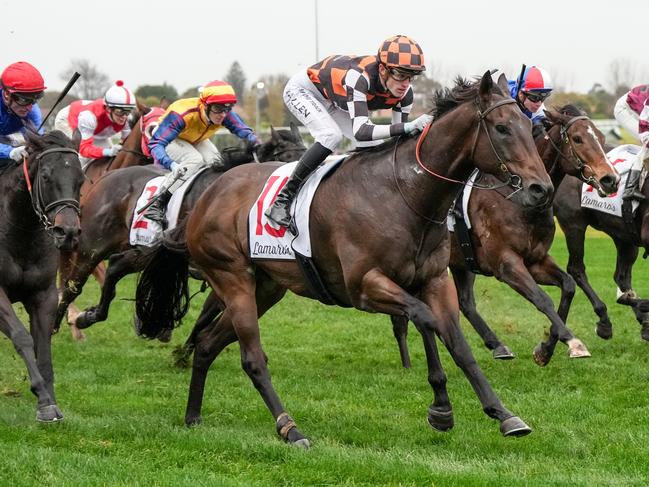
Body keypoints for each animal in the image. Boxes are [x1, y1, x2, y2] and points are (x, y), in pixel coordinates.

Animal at [0, 131, 83, 424]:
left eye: (81, 178)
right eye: (46, 176)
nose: (67, 233)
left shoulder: (43, 295)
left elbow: (43, 348)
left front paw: (49, 402)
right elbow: (22, 337)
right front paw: (44, 398)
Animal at [135, 73, 552, 446]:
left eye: (528, 126)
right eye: (502, 128)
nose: (541, 189)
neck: (405, 194)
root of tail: (205, 198)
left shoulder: (435, 280)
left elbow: (458, 344)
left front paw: (503, 414)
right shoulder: (363, 286)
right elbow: (426, 320)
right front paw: (442, 407)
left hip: (266, 288)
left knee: (208, 343)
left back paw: (193, 416)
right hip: (232, 278)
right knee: (252, 358)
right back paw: (291, 429)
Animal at [390, 105, 616, 368]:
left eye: (601, 138)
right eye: (578, 138)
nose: (610, 179)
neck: (519, 200)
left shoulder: (535, 260)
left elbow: (568, 286)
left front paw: (545, 349)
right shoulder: (506, 264)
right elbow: (542, 299)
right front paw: (571, 341)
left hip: (460, 261)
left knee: (465, 303)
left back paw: (496, 345)